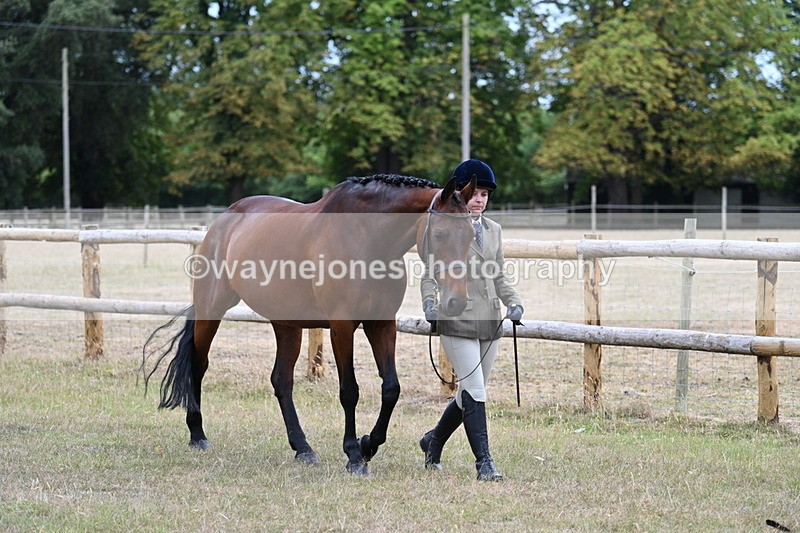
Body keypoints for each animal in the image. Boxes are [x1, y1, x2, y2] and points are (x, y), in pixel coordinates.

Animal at [143, 174, 477, 474]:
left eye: (472, 236)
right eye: (440, 235)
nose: (457, 302)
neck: (365, 238)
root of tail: (222, 222)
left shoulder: (381, 324)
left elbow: (391, 388)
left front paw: (369, 444)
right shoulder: (342, 326)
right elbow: (349, 391)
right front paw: (354, 455)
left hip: (286, 324)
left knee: (281, 381)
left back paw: (303, 448)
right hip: (212, 309)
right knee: (199, 365)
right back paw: (197, 435)